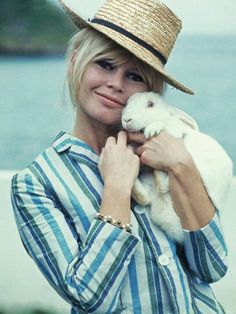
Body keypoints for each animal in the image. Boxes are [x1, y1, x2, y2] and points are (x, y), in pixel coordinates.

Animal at [122, 91, 233, 243]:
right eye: (127, 103)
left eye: (150, 104)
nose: (126, 119)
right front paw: (129, 148)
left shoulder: (175, 130)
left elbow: (165, 125)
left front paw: (152, 130)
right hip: (148, 187)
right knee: (146, 197)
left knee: (162, 186)